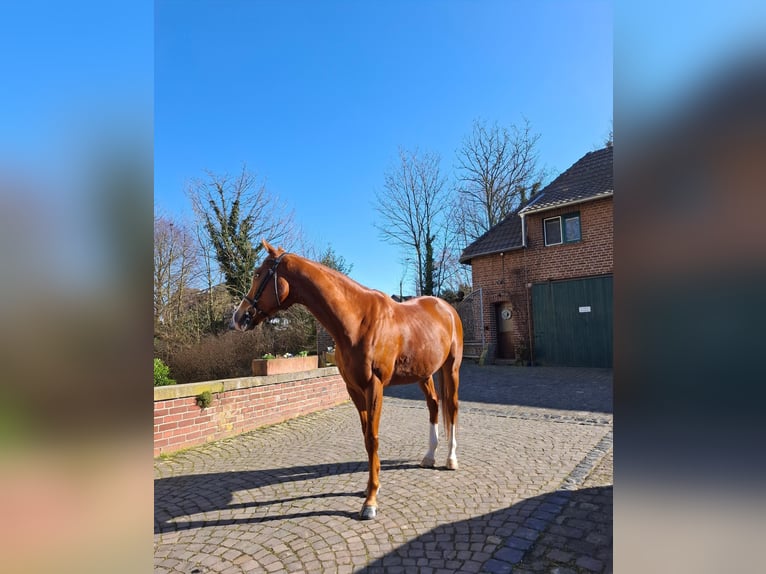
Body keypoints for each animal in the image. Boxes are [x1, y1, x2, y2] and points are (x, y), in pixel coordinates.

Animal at [231, 241, 464, 520]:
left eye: (258, 274)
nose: (238, 317)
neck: (357, 320)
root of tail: (447, 308)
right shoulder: (353, 388)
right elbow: (365, 438)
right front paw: (370, 488)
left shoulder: (374, 387)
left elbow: (373, 438)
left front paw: (371, 501)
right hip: (424, 373)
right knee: (434, 405)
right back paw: (429, 456)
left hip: (451, 368)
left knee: (452, 406)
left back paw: (451, 459)